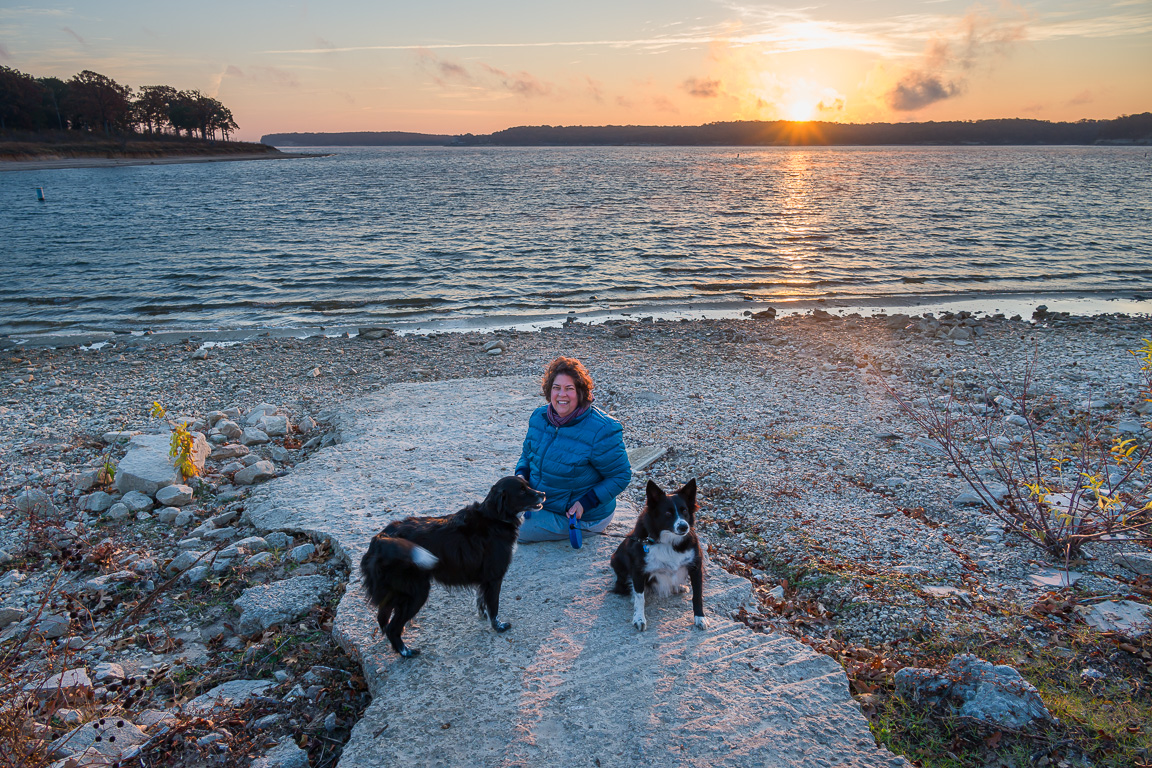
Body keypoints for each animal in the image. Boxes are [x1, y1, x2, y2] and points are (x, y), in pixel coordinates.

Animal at [359, 476, 543, 658]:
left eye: (527, 485)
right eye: (521, 491)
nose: (543, 494)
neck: (494, 517)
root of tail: (382, 538)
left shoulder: (485, 580)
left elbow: (481, 600)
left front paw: (483, 615)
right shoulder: (494, 578)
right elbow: (494, 606)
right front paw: (499, 627)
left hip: (393, 592)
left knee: (383, 618)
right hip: (417, 592)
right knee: (392, 627)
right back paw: (406, 652)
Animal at [612, 481, 700, 630]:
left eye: (685, 511)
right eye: (668, 513)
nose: (684, 527)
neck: (668, 542)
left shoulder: (696, 565)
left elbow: (698, 596)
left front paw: (700, 618)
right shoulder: (638, 570)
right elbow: (640, 597)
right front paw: (639, 619)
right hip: (617, 562)